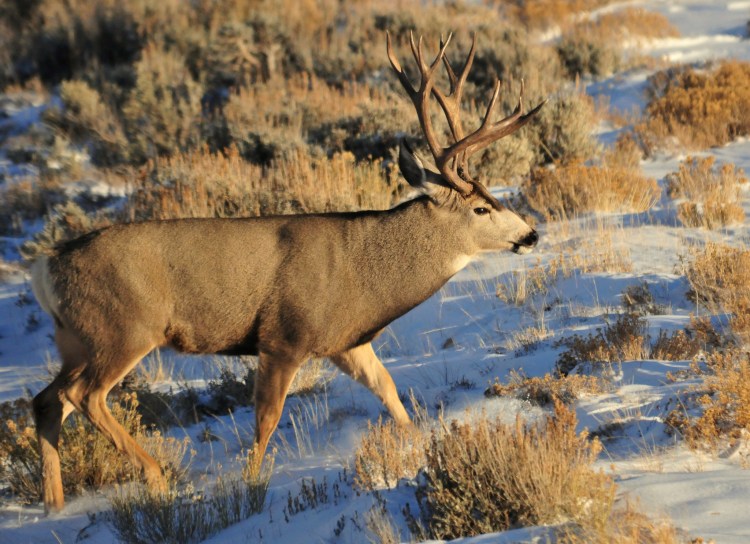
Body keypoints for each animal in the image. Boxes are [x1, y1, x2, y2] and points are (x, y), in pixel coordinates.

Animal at [30, 32, 544, 512]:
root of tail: (45, 267)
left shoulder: (346, 342)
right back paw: (156, 476)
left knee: (47, 400)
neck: (363, 273)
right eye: (481, 207)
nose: (532, 234)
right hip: (124, 328)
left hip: (75, 338)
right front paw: (251, 483)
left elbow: (389, 391)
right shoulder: (283, 336)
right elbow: (267, 418)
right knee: (84, 395)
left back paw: (54, 505)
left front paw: (419, 443)